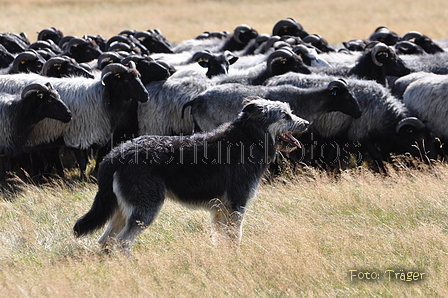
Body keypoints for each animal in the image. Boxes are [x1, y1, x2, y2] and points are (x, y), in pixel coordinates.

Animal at [73, 97, 310, 251]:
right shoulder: (236, 205)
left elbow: (222, 240)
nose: (307, 123)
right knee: (123, 242)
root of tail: (116, 154)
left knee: (106, 241)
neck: (249, 137)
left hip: (122, 210)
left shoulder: (220, 210)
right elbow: (235, 238)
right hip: (145, 208)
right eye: (285, 115)